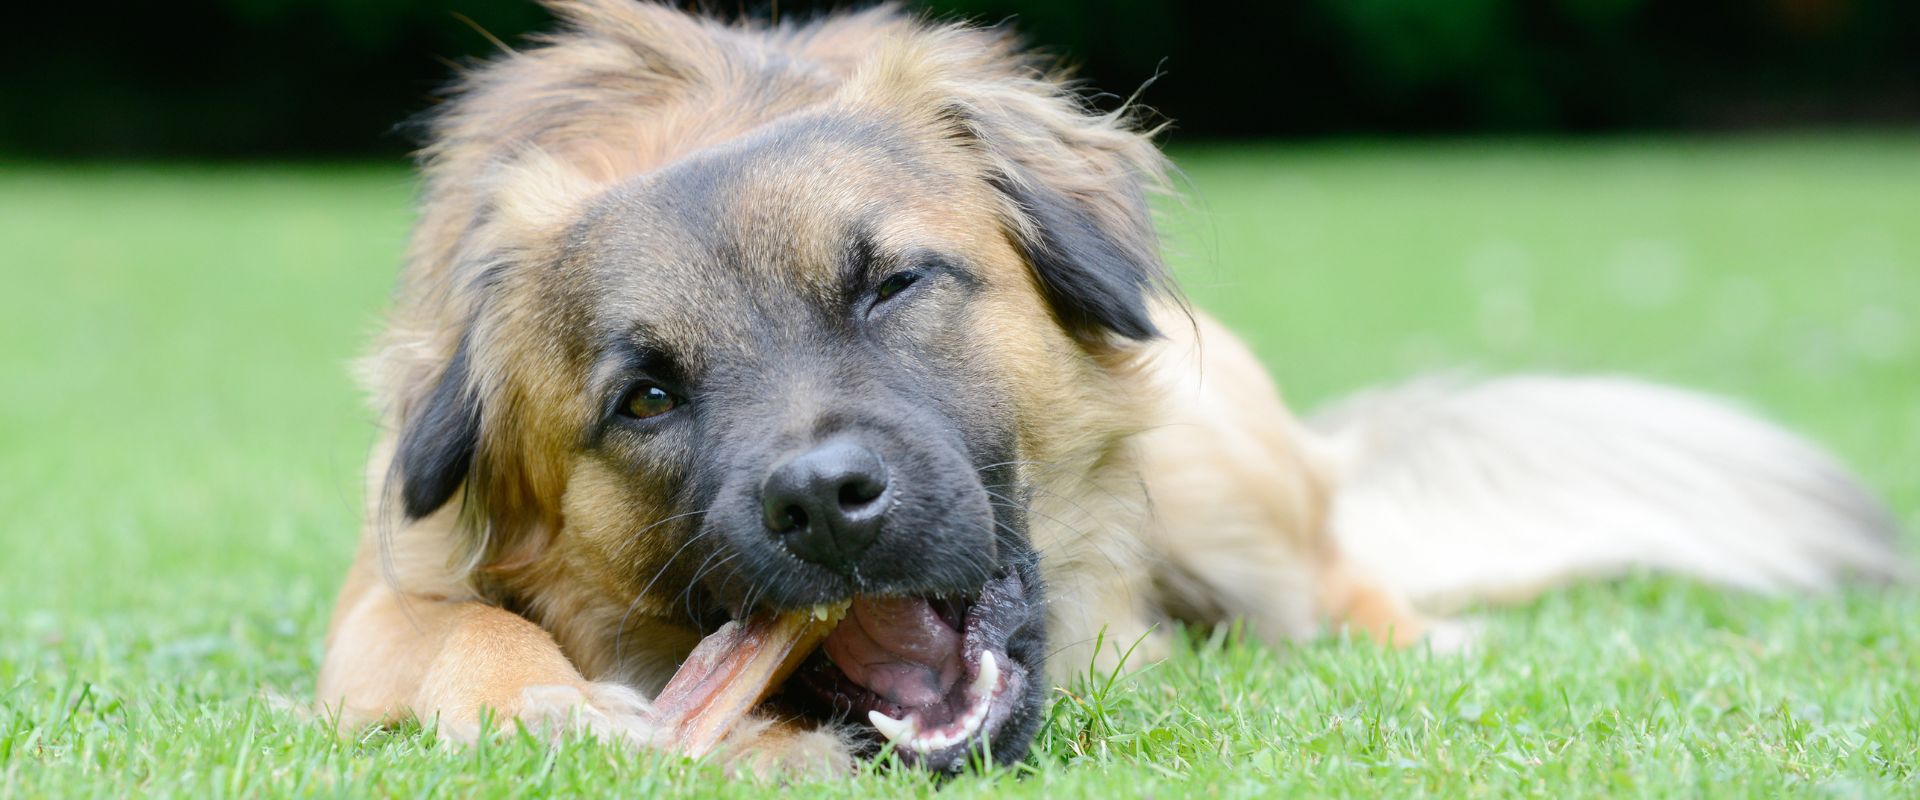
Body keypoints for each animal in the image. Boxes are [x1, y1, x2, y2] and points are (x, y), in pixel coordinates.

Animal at [314, 0, 1904, 775]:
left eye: (891, 285)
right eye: (644, 397)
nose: (824, 501)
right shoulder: (384, 589)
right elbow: (456, 634)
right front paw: (546, 702)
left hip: (1222, 462)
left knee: (1346, 586)